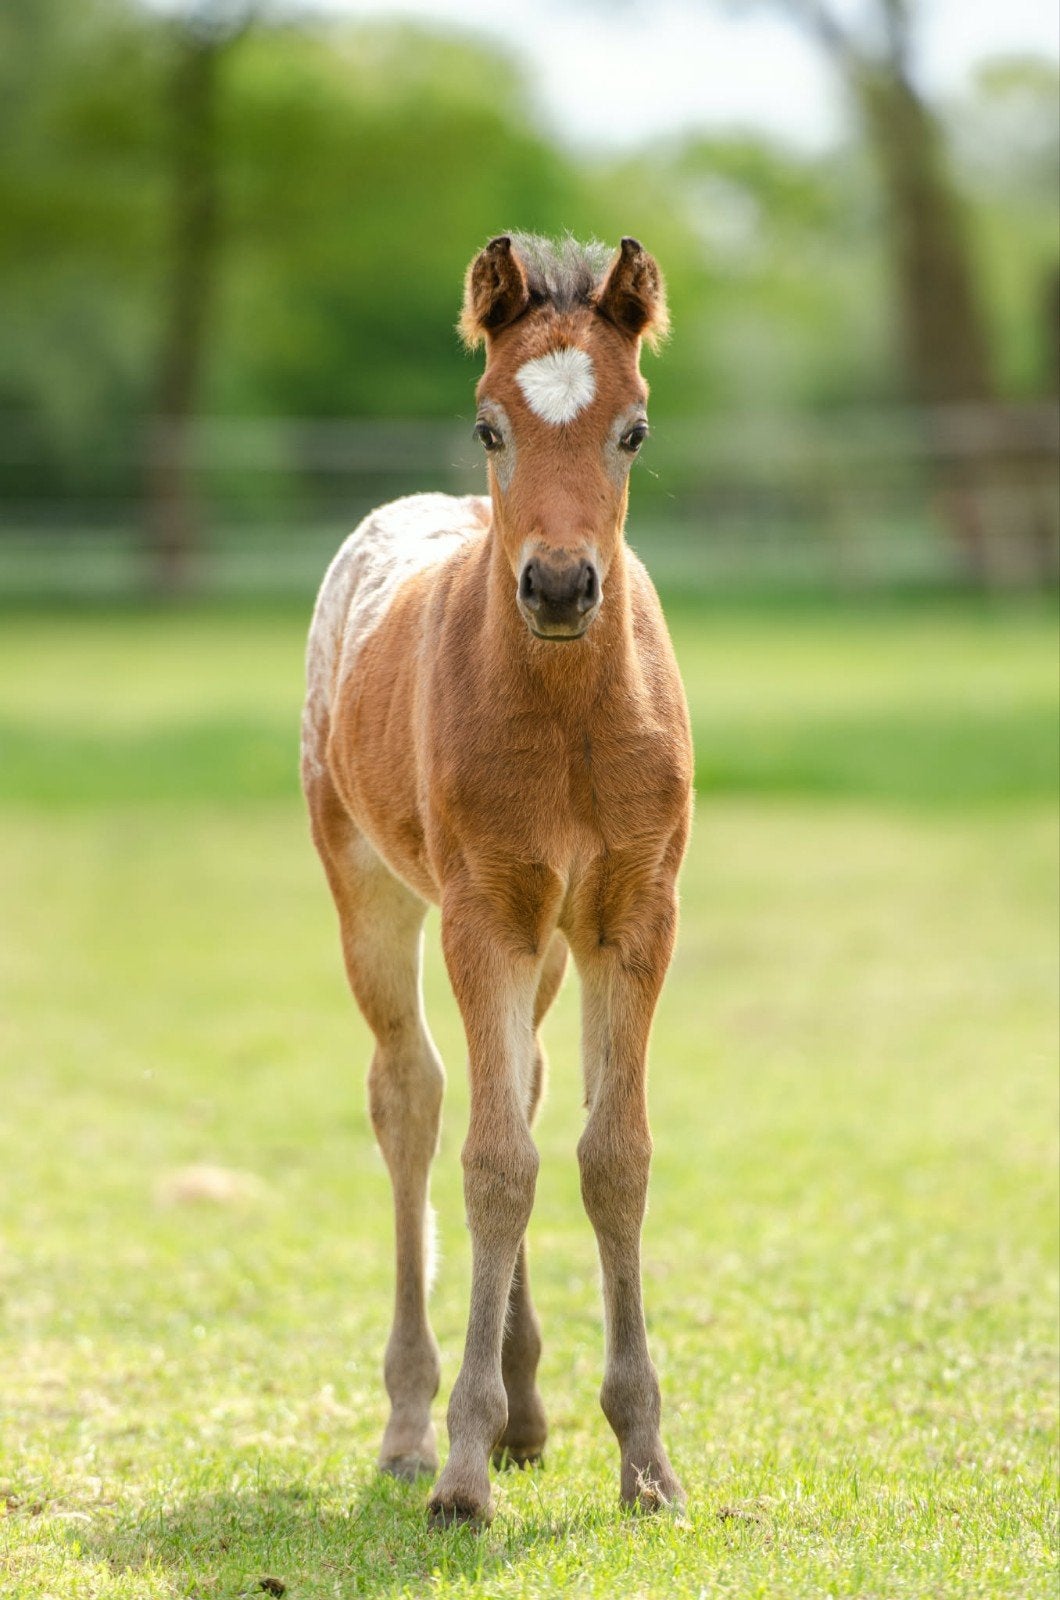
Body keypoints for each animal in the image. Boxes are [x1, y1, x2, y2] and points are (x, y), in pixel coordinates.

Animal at [301, 234, 693, 1527]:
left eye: (633, 430)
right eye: (490, 424)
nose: (561, 587)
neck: (567, 716)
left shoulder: (632, 914)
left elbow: (608, 1155)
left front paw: (645, 1460)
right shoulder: (483, 914)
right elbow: (492, 1165)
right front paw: (461, 1472)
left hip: (552, 937)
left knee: (514, 1082)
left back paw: (524, 1407)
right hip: (368, 880)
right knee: (414, 1098)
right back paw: (414, 1422)